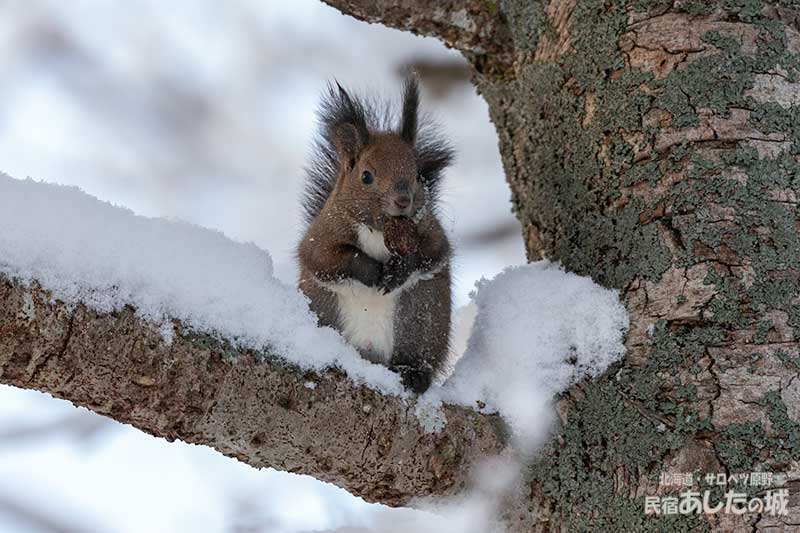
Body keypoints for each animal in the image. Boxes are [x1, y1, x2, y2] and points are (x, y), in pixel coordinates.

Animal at [296, 75, 454, 392]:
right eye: (366, 176)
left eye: (417, 174)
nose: (403, 200)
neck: (380, 228)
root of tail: (371, 354)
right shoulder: (321, 236)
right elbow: (327, 258)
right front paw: (371, 270)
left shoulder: (432, 231)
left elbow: (432, 252)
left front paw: (399, 269)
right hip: (325, 310)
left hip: (421, 319)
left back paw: (413, 373)